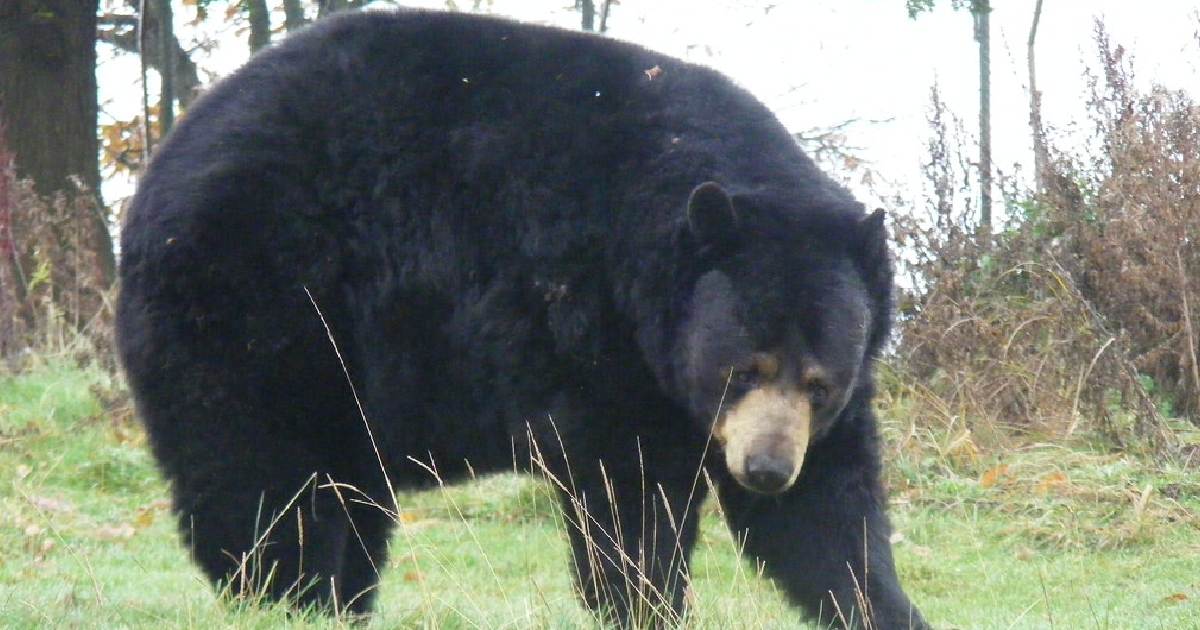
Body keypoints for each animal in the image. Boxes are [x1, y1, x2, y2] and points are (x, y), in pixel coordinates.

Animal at [117, 7, 926, 624]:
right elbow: (626, 491)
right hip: (262, 298)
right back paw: (290, 596)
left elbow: (828, 514)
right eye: (742, 368)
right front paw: (646, 601)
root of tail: (165, 164)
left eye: (819, 383)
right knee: (263, 475)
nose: (764, 468)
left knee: (346, 492)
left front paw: (881, 603)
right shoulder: (591, 324)